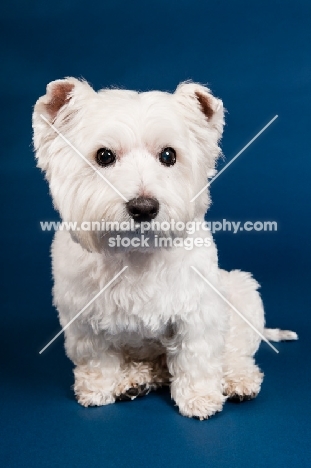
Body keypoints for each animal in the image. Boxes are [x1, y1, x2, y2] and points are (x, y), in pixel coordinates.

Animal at [32, 77, 298, 420]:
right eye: (104, 155)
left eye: (169, 155)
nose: (144, 207)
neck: (136, 255)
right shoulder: (82, 318)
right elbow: (96, 357)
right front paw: (97, 389)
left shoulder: (198, 312)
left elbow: (197, 356)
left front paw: (200, 397)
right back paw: (136, 379)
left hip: (241, 290)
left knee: (236, 351)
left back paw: (238, 380)